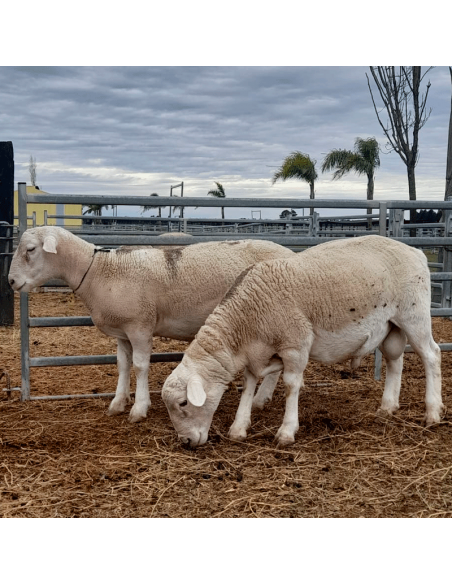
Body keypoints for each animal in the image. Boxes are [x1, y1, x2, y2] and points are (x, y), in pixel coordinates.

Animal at [9, 226, 296, 422]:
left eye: (30, 250)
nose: (11, 281)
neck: (100, 271)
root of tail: (291, 253)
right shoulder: (122, 332)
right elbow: (123, 365)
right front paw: (118, 403)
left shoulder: (140, 326)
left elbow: (140, 366)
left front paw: (139, 408)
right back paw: (261, 399)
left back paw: (260, 397)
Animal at [162, 235, 442, 450]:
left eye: (183, 403)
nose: (186, 442)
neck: (246, 317)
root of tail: (416, 251)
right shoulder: (256, 352)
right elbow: (249, 384)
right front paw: (239, 428)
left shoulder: (294, 345)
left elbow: (290, 385)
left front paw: (286, 432)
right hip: (390, 326)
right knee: (395, 360)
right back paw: (387, 407)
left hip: (414, 315)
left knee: (432, 355)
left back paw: (432, 412)